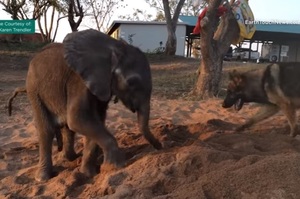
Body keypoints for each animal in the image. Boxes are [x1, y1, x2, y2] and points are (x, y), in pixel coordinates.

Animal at [25, 29, 162, 182]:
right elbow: (78, 119)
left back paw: (71, 158)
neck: (114, 47)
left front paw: (89, 174)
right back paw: (43, 178)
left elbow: (96, 121)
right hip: (34, 90)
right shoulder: (79, 80)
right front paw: (114, 167)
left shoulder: (102, 84)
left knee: (67, 128)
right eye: (131, 82)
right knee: (46, 130)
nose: (160, 147)